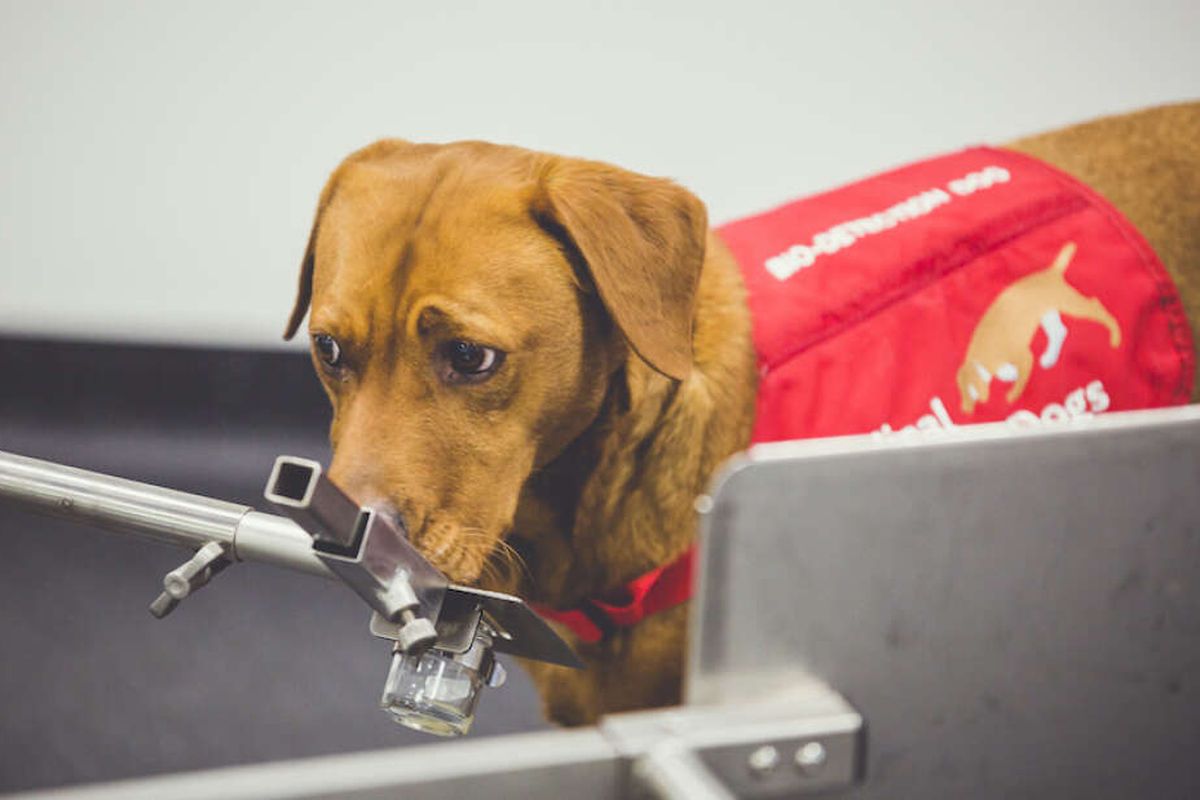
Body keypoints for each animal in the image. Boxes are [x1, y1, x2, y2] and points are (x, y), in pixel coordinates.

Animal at [960, 241, 1118, 417]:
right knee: (1059, 331)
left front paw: (1011, 396)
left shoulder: (1024, 356)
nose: (965, 409)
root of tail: (1051, 272)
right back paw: (1050, 357)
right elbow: (1006, 372)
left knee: (1095, 305)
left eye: (967, 390)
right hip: (1047, 314)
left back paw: (1115, 337)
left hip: (1070, 304)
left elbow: (1019, 380)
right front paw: (1009, 374)